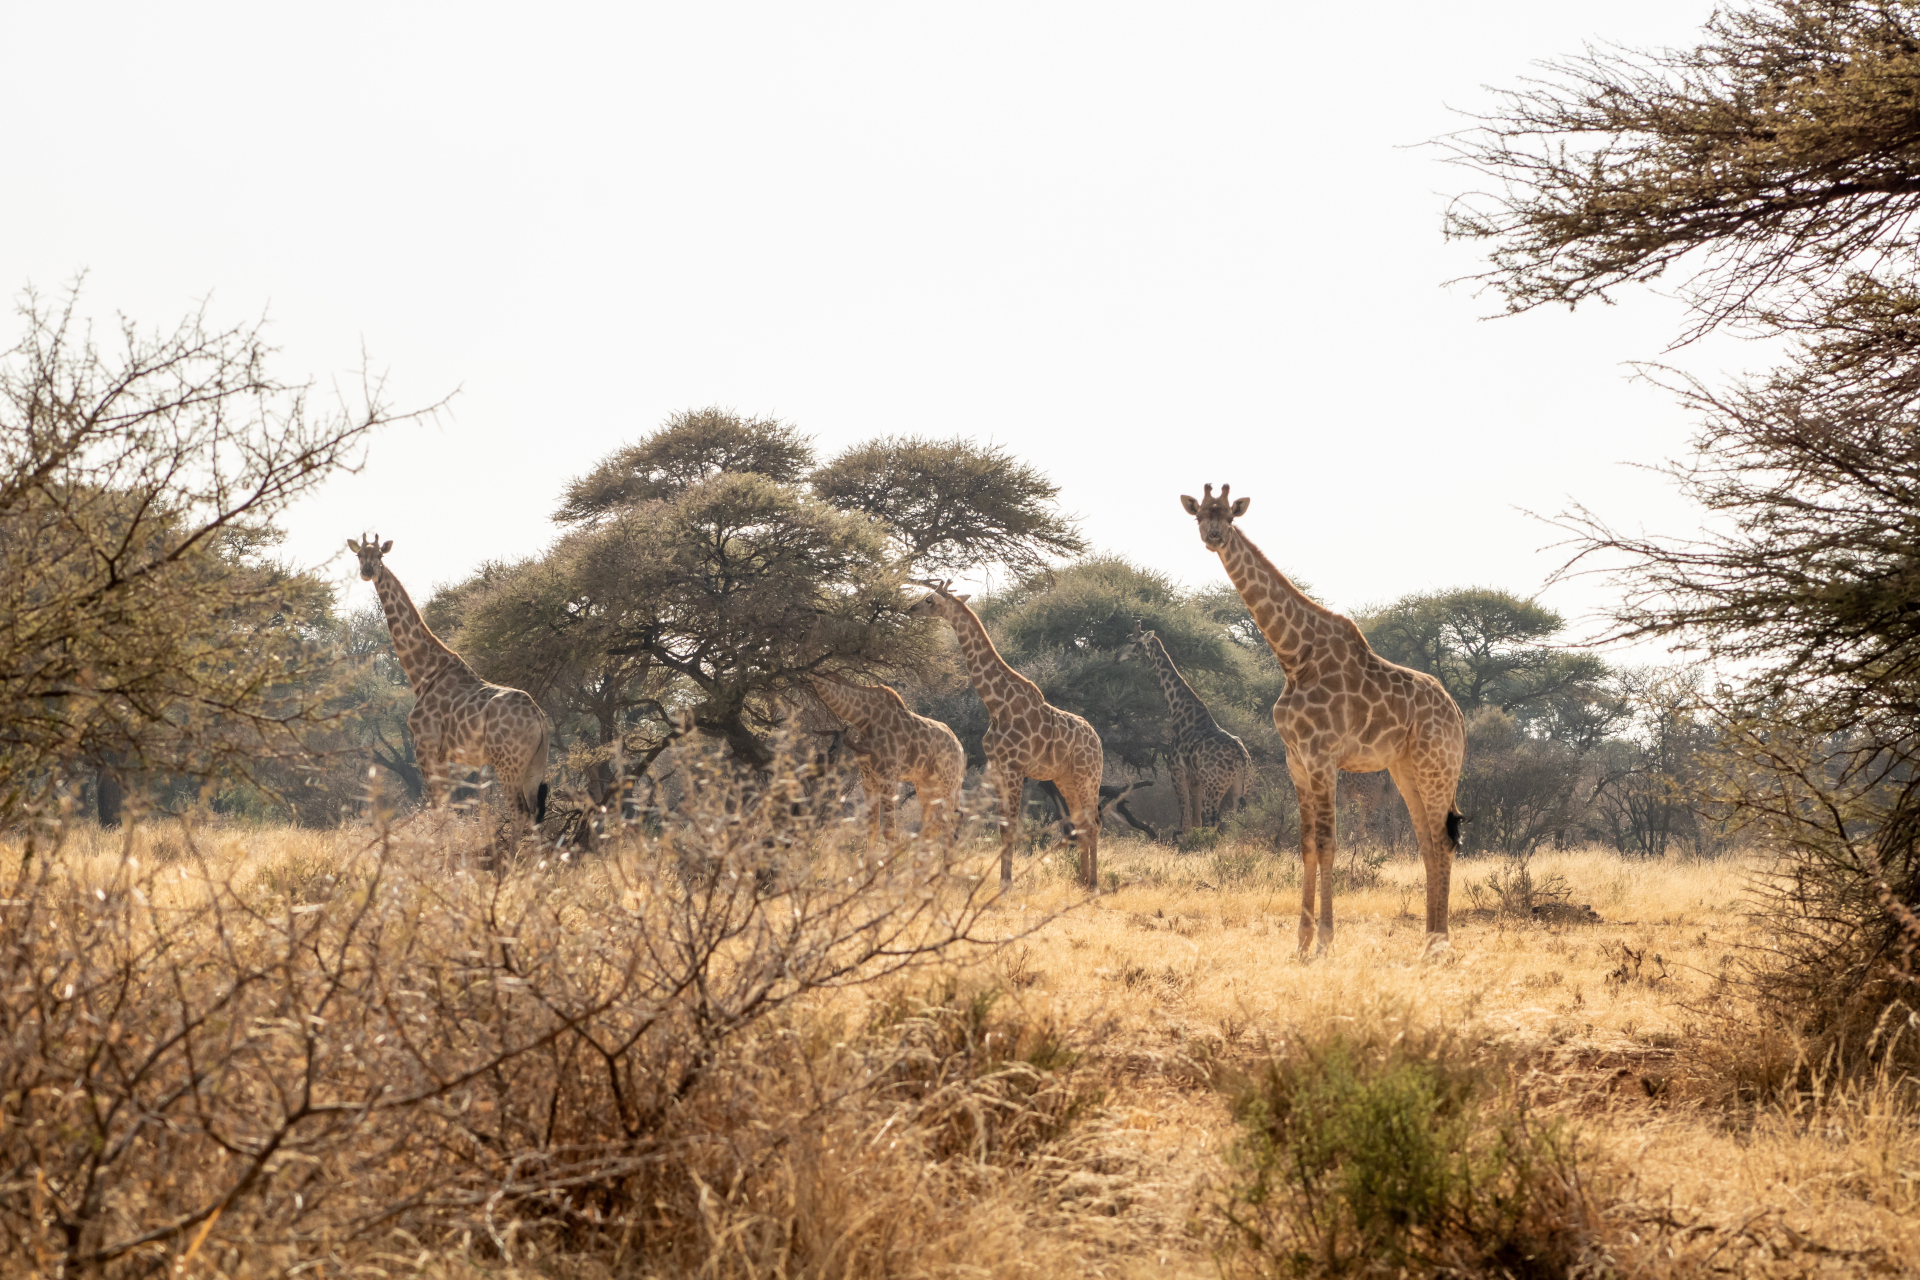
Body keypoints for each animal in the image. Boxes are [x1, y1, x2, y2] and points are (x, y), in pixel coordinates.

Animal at [348, 536, 551, 823]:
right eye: (359, 555)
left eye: (379, 555)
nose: (367, 571)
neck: (424, 672)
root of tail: (539, 719)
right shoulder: (445, 756)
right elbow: (446, 808)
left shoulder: (425, 745)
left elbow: (438, 807)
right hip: (536, 763)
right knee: (535, 813)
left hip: (508, 762)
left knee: (520, 812)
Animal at [808, 676, 965, 842]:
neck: (865, 719)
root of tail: (961, 749)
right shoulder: (867, 778)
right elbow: (872, 830)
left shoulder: (888, 776)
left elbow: (889, 830)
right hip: (926, 784)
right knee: (933, 825)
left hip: (948, 784)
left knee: (948, 824)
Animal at [906, 580, 1104, 888]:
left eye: (929, 599)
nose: (910, 609)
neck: (997, 704)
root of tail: (1097, 739)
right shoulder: (998, 767)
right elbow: (1002, 828)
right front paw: (1003, 879)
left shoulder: (1015, 768)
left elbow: (1011, 827)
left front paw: (1006, 883)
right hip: (1066, 778)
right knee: (1082, 823)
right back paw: (1083, 880)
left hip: (1088, 775)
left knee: (1094, 823)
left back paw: (1093, 883)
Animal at [1116, 620, 1252, 834]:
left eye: (1130, 641)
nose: (1116, 657)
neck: (1180, 714)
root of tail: (1242, 757)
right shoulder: (1195, 779)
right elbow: (1195, 821)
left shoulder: (1177, 771)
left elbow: (1186, 822)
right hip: (1241, 789)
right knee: (1236, 825)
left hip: (1214, 787)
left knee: (1213, 822)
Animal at [1179, 486, 1465, 955]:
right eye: (1199, 515)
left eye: (1229, 516)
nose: (1214, 536)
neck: (1295, 657)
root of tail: (1458, 713)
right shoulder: (1297, 761)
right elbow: (1306, 845)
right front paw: (1301, 941)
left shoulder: (1323, 757)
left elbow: (1329, 844)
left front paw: (1326, 941)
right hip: (1405, 769)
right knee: (1428, 842)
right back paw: (1428, 940)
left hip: (1436, 765)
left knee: (1442, 840)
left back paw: (1438, 945)